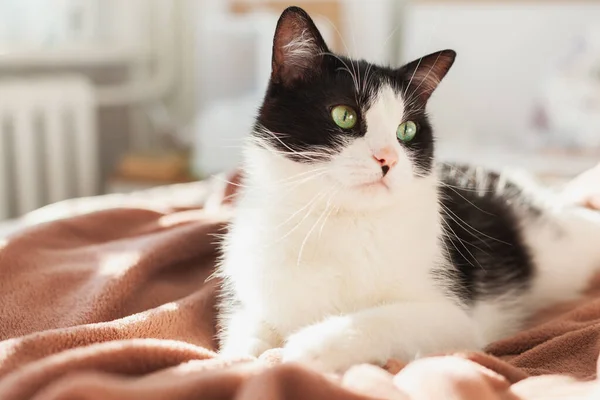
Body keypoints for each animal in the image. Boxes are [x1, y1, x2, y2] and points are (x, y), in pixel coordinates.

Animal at [214, 5, 600, 372]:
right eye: (344, 116)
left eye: (407, 130)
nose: (388, 159)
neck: (339, 221)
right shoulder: (249, 283)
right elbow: (245, 330)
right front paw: (240, 360)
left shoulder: (453, 319)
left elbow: (379, 319)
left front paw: (311, 345)